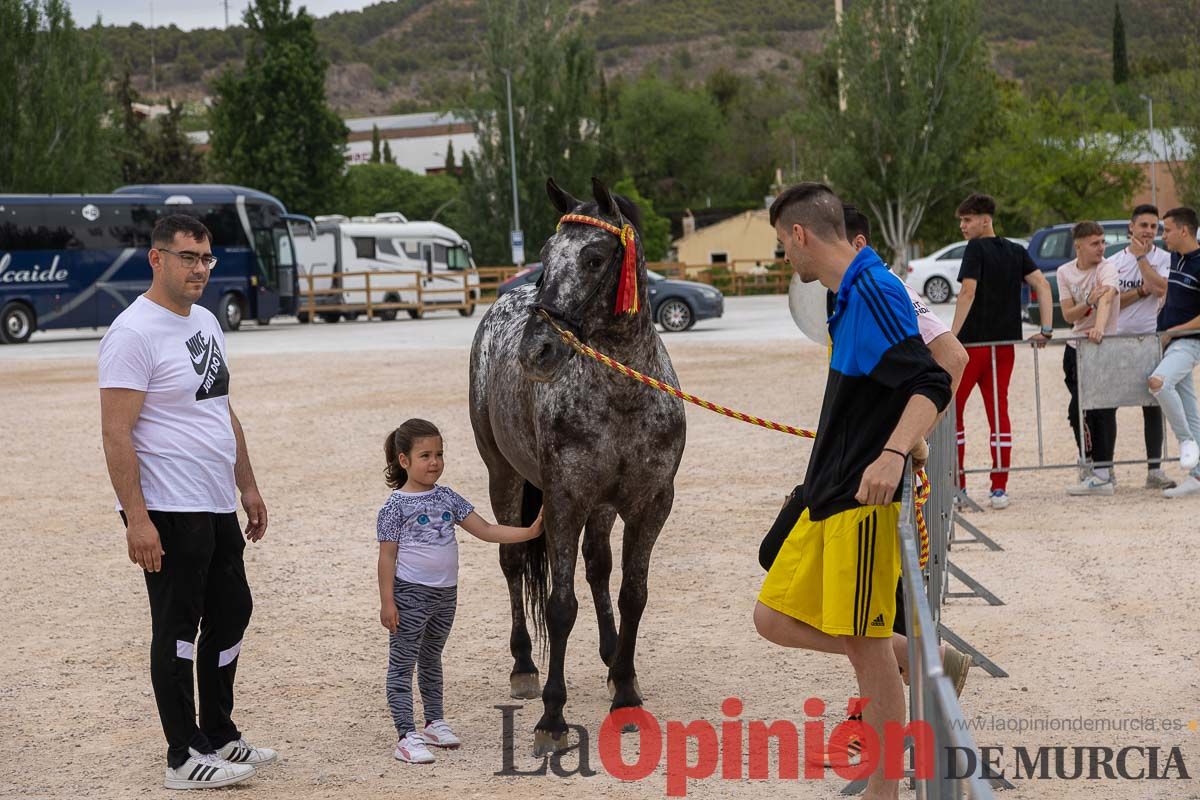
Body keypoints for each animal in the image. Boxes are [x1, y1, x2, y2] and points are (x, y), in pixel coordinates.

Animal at [468, 176, 686, 758]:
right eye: (544, 255)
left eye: (593, 258)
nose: (537, 350)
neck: (623, 397)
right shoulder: (564, 500)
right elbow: (560, 605)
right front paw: (552, 717)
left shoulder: (649, 504)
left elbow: (632, 594)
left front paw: (627, 693)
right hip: (506, 478)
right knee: (514, 564)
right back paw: (524, 665)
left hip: (602, 506)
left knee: (597, 565)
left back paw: (612, 656)